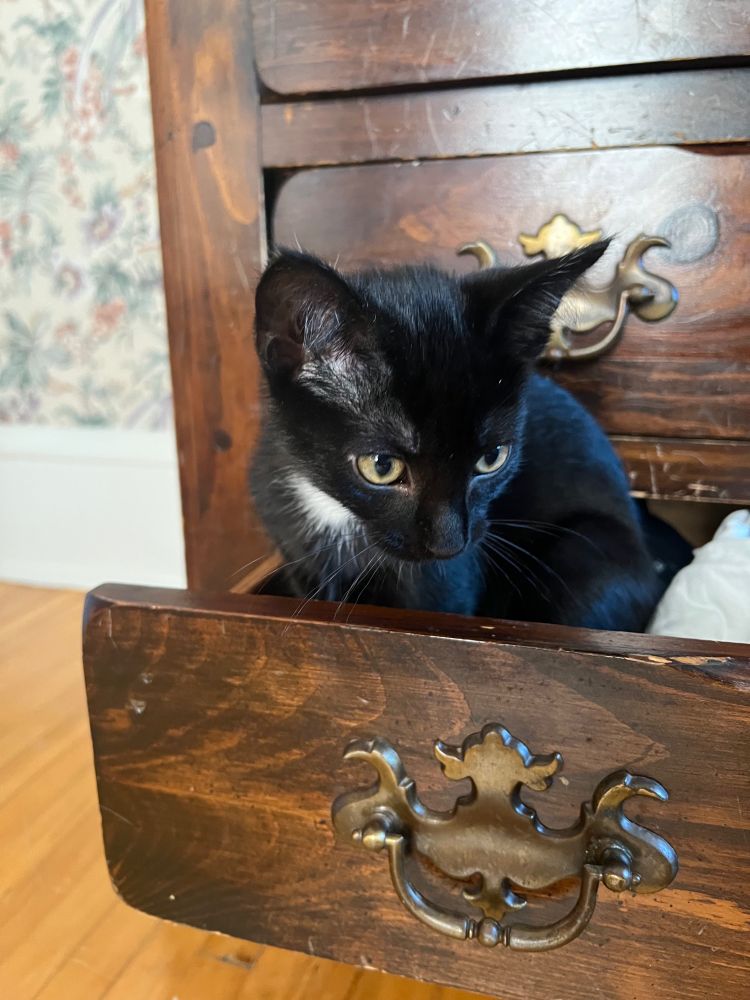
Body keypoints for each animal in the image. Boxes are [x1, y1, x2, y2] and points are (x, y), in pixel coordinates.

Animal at [249, 245, 680, 632]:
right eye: (381, 466)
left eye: (492, 458)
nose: (450, 545)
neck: (336, 513)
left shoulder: (447, 586)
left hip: (585, 551)